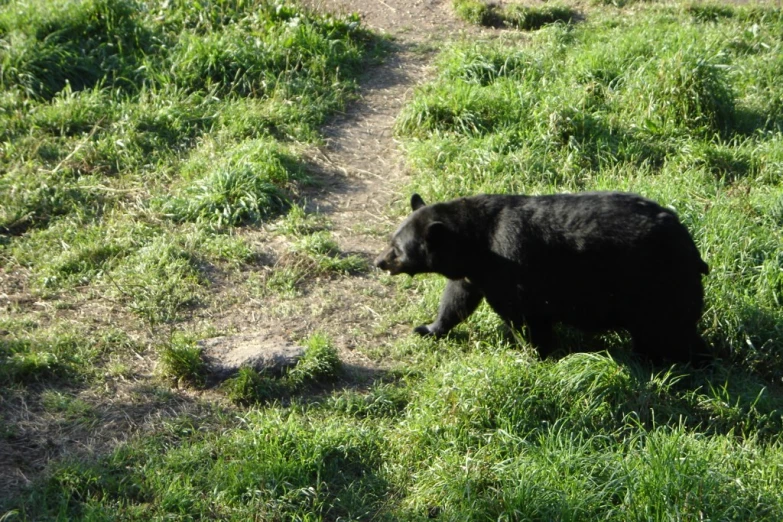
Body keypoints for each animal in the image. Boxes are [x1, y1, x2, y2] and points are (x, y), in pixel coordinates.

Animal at [374, 191, 712, 362]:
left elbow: (525, 315)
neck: (477, 243)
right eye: (391, 240)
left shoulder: (512, 261)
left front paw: (537, 354)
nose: (379, 261)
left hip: (656, 284)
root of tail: (693, 250)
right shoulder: (474, 273)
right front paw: (429, 328)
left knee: (666, 330)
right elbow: (457, 300)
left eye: (397, 249)